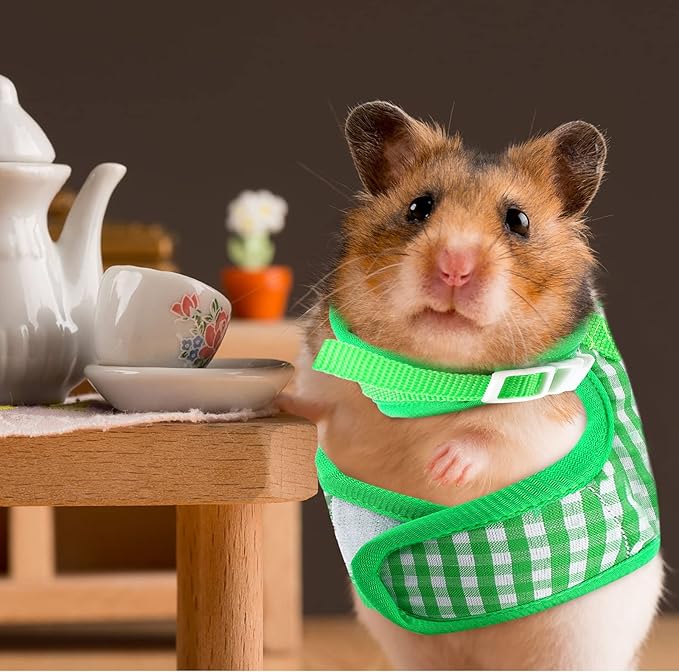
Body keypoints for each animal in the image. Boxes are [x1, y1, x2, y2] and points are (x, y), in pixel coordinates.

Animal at [283, 102, 664, 670]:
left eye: (518, 221)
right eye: (418, 207)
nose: (454, 267)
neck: (429, 376)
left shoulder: (555, 416)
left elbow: (494, 428)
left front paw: (440, 466)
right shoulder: (330, 379)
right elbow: (312, 399)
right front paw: (273, 395)